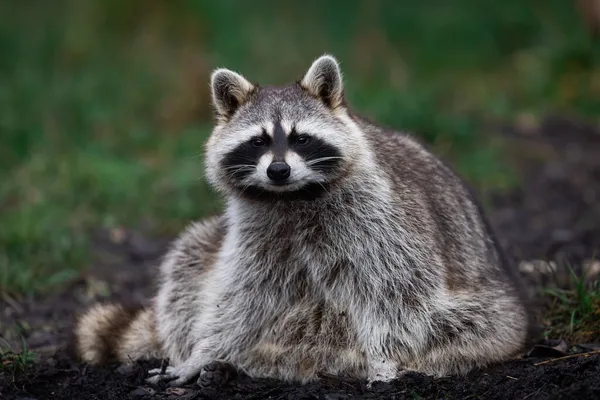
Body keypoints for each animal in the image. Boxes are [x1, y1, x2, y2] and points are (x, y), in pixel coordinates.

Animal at [76, 54, 536, 386]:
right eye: (258, 141)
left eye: (301, 138)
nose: (278, 170)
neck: (292, 196)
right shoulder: (257, 227)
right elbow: (240, 294)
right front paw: (204, 351)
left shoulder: (380, 216)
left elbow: (397, 292)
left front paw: (385, 356)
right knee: (187, 265)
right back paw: (237, 361)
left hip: (492, 307)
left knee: (461, 325)